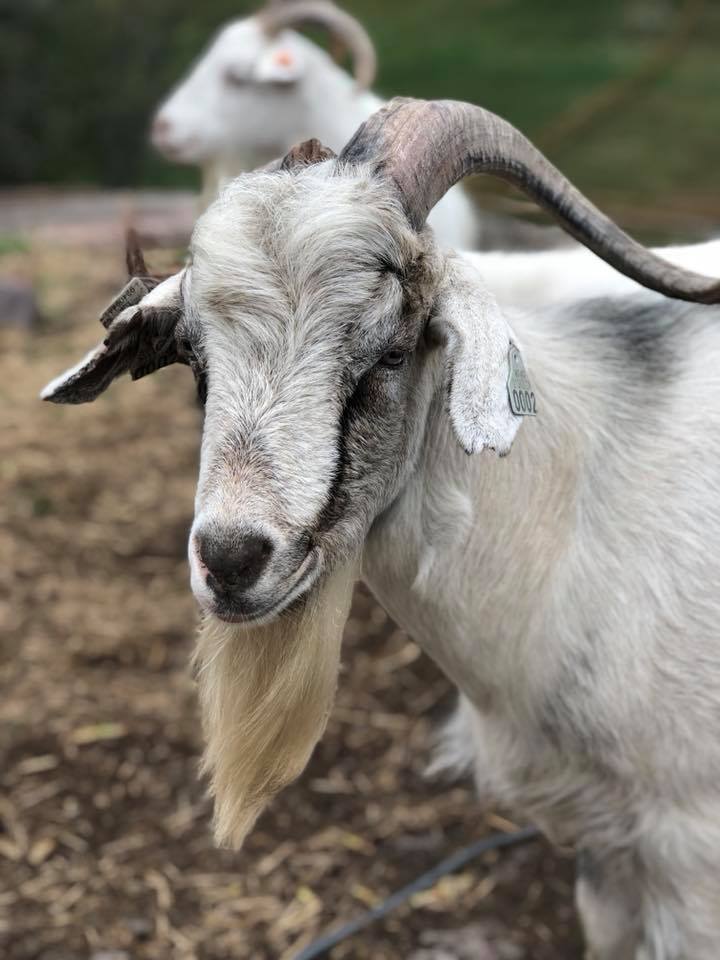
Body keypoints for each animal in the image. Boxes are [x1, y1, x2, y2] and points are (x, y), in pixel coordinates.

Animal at [44, 99, 720, 958]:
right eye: (196, 365)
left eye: (392, 352)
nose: (230, 561)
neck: (575, 512)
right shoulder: (607, 855)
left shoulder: (691, 853)